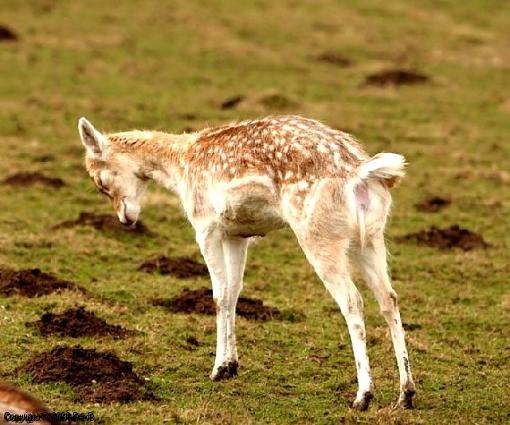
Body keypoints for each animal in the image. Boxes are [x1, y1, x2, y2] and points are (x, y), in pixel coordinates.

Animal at [78, 114, 414, 410]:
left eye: (100, 181)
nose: (125, 219)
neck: (181, 167)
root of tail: (361, 173)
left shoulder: (205, 226)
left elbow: (217, 295)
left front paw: (216, 369)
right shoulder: (237, 234)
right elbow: (233, 293)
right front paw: (231, 365)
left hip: (319, 236)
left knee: (353, 300)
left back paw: (363, 397)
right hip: (370, 238)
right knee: (389, 297)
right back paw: (405, 394)